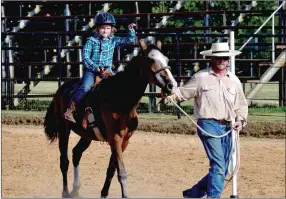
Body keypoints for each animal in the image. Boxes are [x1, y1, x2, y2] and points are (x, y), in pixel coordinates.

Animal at [43, 39, 178, 198]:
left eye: (167, 60)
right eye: (151, 60)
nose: (172, 85)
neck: (120, 99)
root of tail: (61, 89)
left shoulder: (124, 140)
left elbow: (112, 169)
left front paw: (104, 193)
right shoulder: (115, 138)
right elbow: (122, 172)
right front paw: (124, 195)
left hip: (86, 135)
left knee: (76, 153)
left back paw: (75, 189)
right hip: (63, 130)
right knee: (64, 161)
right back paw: (65, 192)